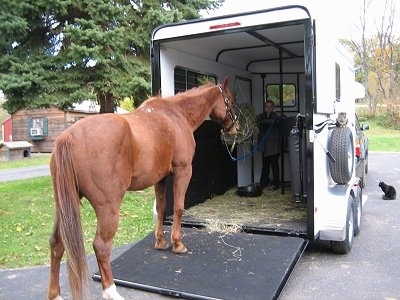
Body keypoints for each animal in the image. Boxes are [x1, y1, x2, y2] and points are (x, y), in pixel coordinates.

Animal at [47, 78, 238, 300]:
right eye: (230, 100)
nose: (235, 127)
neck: (176, 115)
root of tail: (68, 137)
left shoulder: (160, 179)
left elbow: (162, 208)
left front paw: (161, 242)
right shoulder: (183, 171)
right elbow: (178, 208)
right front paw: (177, 244)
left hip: (64, 206)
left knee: (56, 243)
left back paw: (55, 294)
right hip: (108, 208)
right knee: (101, 246)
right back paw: (111, 291)